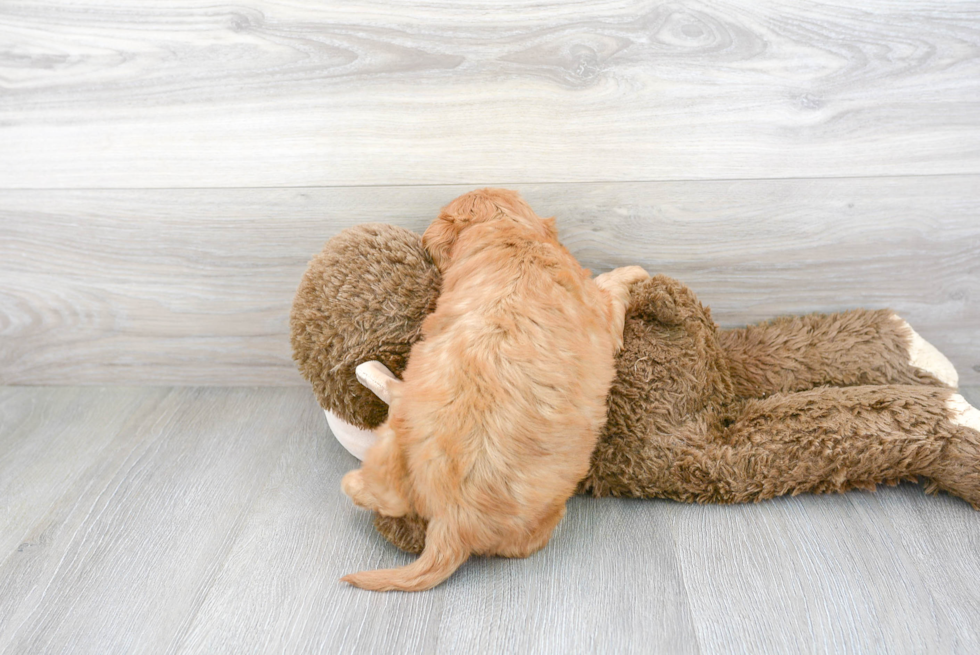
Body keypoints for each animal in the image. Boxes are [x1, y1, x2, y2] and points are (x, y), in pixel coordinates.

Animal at [340, 187, 648, 592]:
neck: (509, 237)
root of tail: (452, 523)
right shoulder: (602, 312)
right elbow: (611, 285)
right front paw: (637, 271)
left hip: (395, 436)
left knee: (387, 491)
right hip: (544, 515)